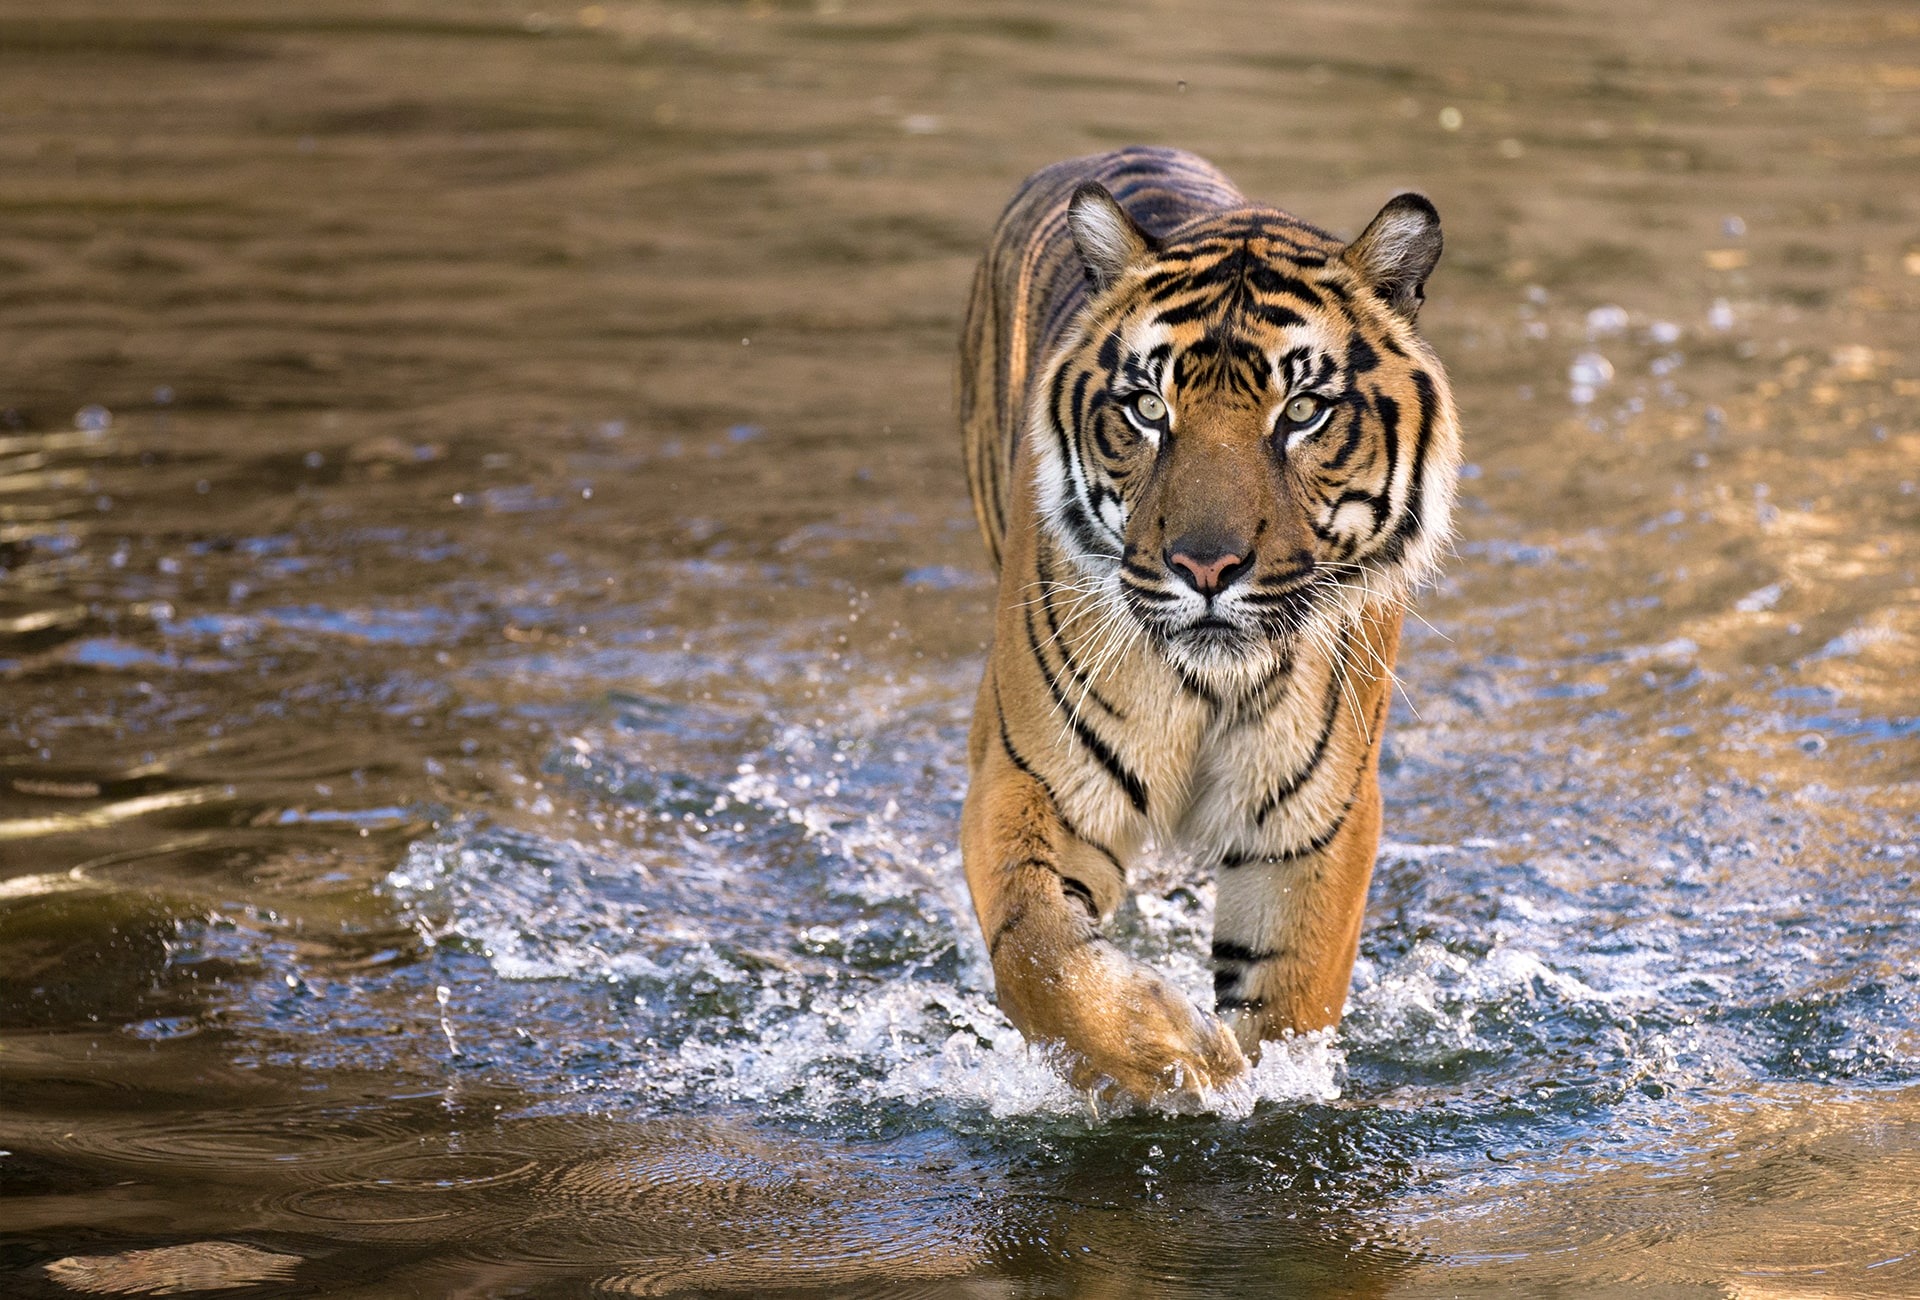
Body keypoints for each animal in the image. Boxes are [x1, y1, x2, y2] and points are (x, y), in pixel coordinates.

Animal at [952, 146, 1459, 1098]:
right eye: (1150, 409)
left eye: (1302, 412)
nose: (1207, 567)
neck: (1212, 683)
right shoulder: (1030, 776)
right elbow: (1040, 954)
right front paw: (1176, 1057)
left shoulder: (1317, 820)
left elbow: (1291, 993)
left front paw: (1257, 1075)